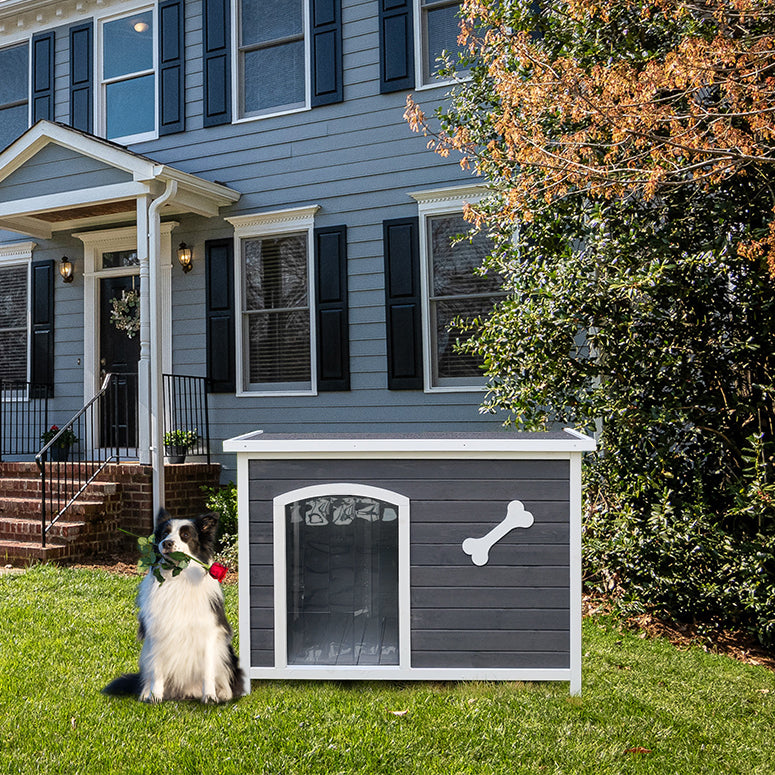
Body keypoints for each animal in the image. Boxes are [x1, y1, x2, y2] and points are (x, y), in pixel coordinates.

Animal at [102, 510, 242, 704]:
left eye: (186, 535)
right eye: (164, 534)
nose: (166, 543)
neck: (178, 578)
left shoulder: (209, 633)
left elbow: (208, 670)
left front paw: (210, 696)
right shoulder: (157, 632)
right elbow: (157, 669)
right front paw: (154, 696)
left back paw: (223, 693)